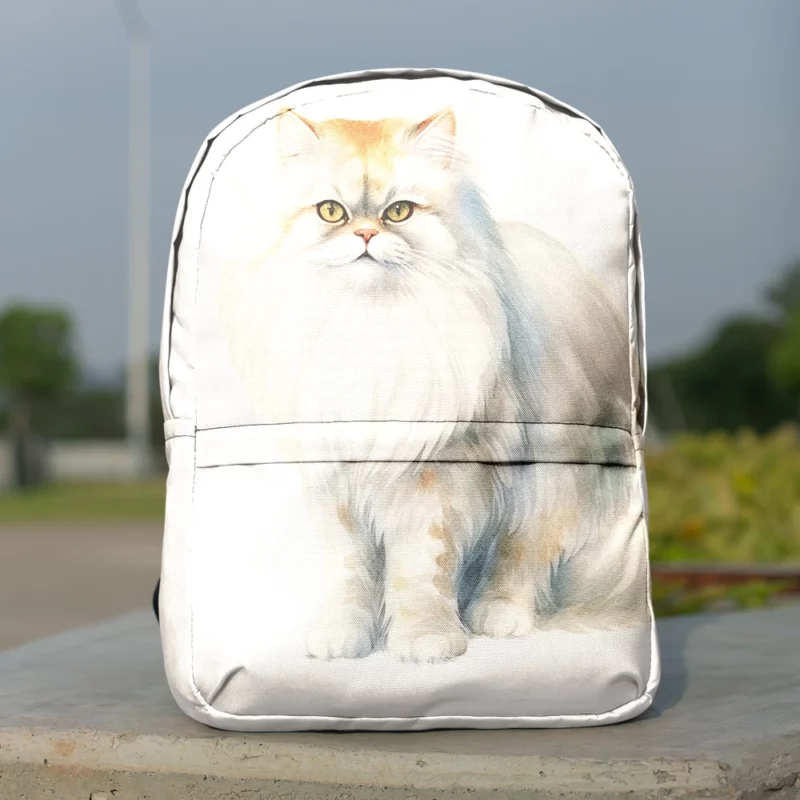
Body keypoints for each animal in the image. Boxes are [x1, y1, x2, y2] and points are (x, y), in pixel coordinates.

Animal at [219, 106, 648, 664]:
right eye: (331, 212)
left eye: (399, 212)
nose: (364, 236)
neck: (370, 332)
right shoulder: (335, 482)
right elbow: (348, 572)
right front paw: (343, 639)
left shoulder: (434, 482)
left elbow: (421, 570)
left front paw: (426, 643)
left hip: (547, 477)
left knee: (523, 551)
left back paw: (497, 616)